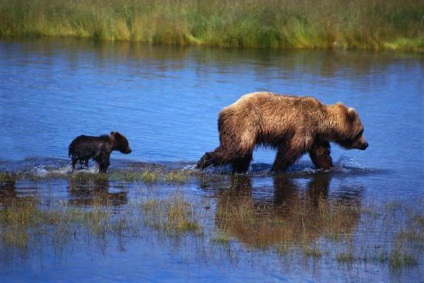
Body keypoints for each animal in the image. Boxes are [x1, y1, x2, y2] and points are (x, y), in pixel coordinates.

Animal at [197, 92, 366, 174]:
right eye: (361, 131)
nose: (366, 144)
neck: (321, 122)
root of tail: (223, 111)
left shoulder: (316, 137)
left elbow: (321, 155)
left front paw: (331, 167)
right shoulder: (303, 127)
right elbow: (289, 151)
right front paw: (275, 168)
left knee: (242, 154)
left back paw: (239, 170)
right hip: (244, 124)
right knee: (235, 149)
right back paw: (202, 163)